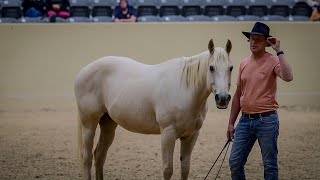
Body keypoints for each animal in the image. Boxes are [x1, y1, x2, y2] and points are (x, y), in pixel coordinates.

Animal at [75, 38, 232, 179]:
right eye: (211, 67)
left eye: (231, 68)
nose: (223, 98)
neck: (185, 89)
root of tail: (83, 71)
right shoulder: (168, 133)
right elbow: (168, 169)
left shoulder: (191, 135)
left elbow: (185, 169)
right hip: (89, 124)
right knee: (87, 157)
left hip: (108, 124)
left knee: (99, 155)